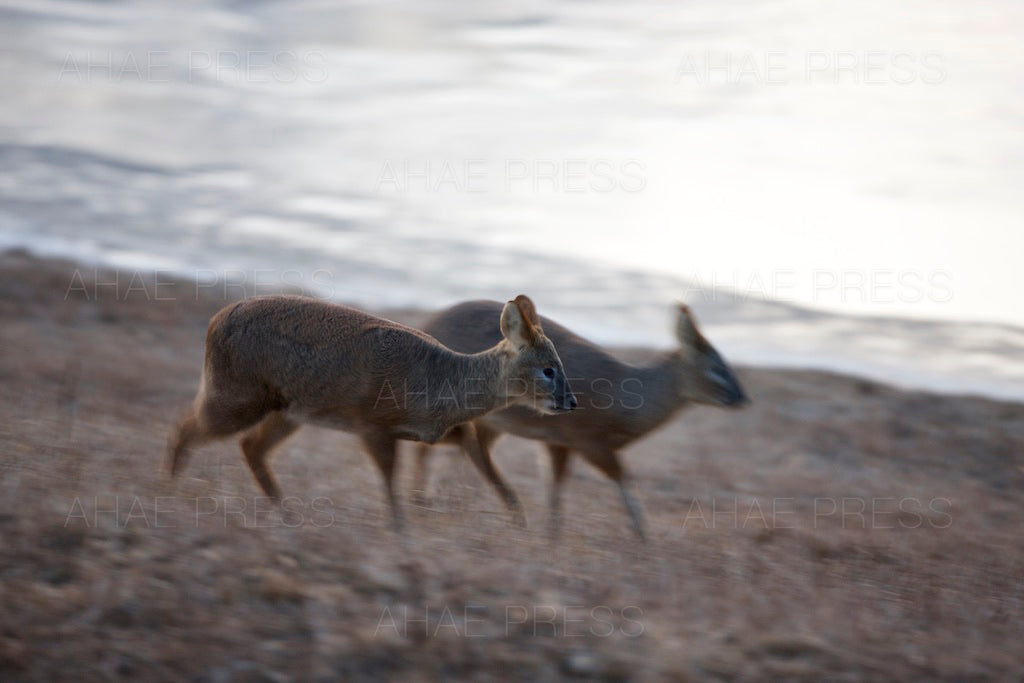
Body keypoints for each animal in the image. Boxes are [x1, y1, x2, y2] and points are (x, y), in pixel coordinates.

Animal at [167, 294, 576, 532]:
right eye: (548, 369)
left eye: (558, 363)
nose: (571, 402)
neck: (441, 383)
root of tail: (215, 320)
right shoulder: (372, 423)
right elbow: (388, 478)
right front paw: (398, 529)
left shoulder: (435, 430)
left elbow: (479, 454)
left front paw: (518, 516)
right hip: (238, 394)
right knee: (184, 428)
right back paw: (166, 491)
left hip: (289, 409)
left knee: (250, 447)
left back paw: (287, 515)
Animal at [412, 301, 748, 540]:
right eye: (717, 368)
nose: (743, 397)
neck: (625, 401)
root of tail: (427, 323)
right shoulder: (587, 439)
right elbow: (622, 477)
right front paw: (643, 536)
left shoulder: (559, 441)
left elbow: (555, 485)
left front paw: (552, 534)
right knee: (455, 447)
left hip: (488, 421)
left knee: (466, 449)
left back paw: (447, 500)